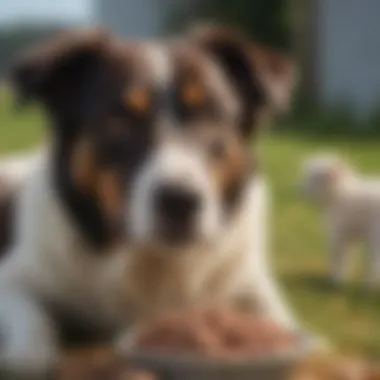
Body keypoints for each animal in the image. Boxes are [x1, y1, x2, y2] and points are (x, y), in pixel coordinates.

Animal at [0, 25, 300, 376]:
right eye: (123, 118)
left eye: (209, 115)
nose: (180, 201)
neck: (154, 261)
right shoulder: (15, 276)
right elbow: (33, 339)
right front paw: (25, 354)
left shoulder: (250, 284)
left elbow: (284, 323)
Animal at [302, 154, 380, 288]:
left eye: (313, 179)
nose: (299, 190)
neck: (340, 193)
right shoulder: (350, 236)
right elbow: (347, 256)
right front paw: (342, 277)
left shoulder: (339, 233)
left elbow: (338, 256)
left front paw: (336, 278)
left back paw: (369, 285)